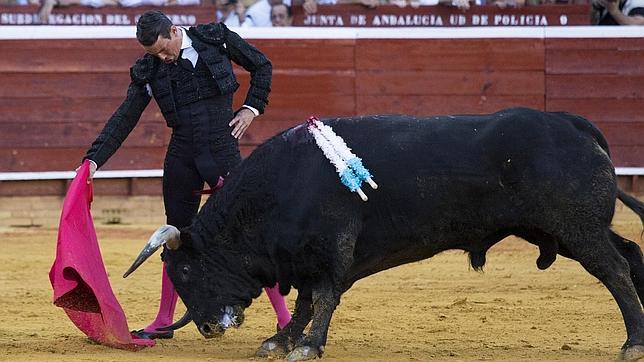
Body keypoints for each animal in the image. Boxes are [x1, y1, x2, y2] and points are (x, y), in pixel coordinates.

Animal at [124, 108, 644, 362]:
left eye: (186, 270)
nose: (208, 328)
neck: (280, 183)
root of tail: (573, 123)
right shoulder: (310, 259)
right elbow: (306, 302)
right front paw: (281, 341)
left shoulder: (330, 250)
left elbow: (322, 298)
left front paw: (307, 346)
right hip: (571, 230)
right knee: (632, 252)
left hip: (577, 228)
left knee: (616, 270)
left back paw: (632, 343)